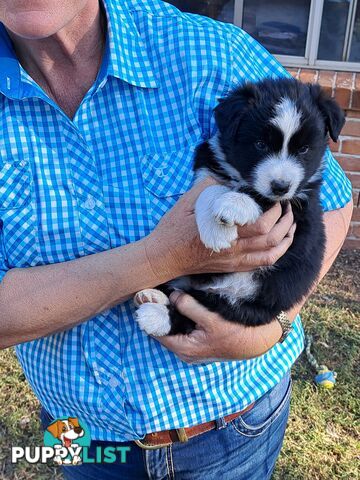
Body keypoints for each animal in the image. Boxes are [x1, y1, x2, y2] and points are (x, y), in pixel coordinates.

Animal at [136, 78, 346, 334]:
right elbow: (208, 190)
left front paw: (232, 208)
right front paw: (215, 229)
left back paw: (155, 315)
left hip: (244, 303)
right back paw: (153, 296)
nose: (280, 186)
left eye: (304, 149)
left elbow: (260, 196)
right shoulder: (209, 167)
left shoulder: (298, 205)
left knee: (200, 307)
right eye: (260, 144)